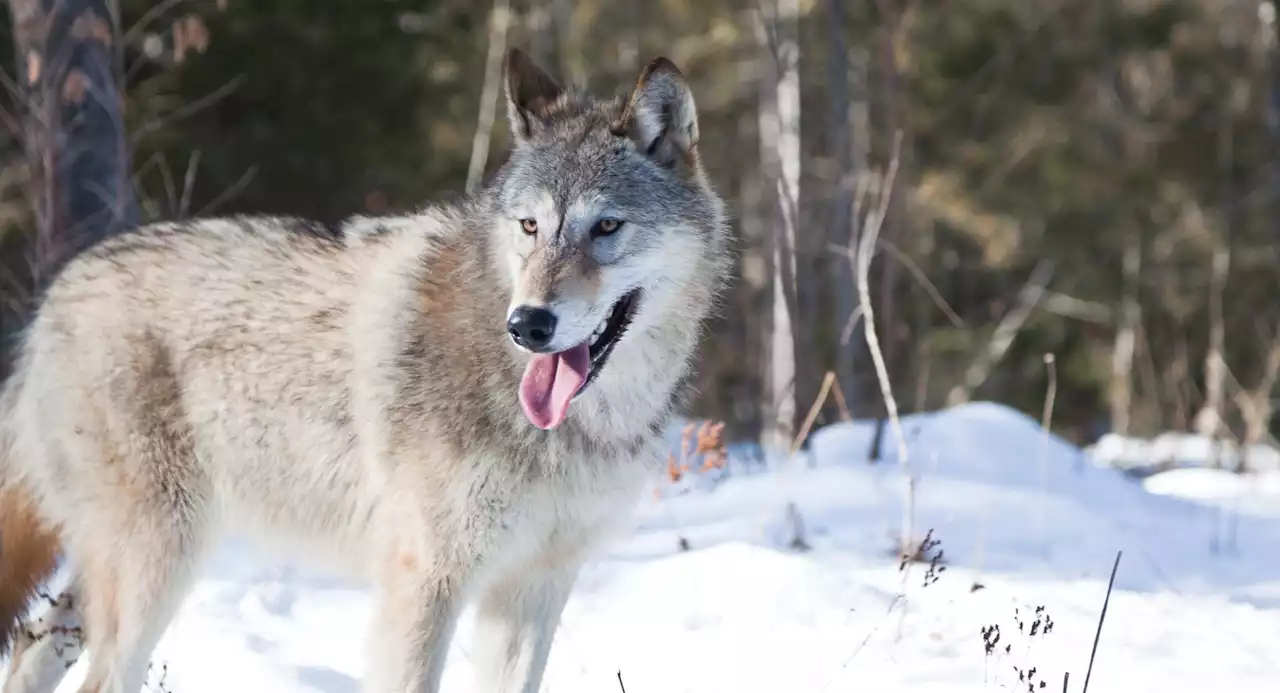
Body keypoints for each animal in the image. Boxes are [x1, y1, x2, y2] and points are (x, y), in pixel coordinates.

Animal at [0, 48, 732, 691]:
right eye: (529, 226)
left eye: (606, 227)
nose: (528, 323)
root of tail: (56, 296)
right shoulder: (425, 582)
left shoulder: (534, 586)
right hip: (158, 565)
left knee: (33, 647)